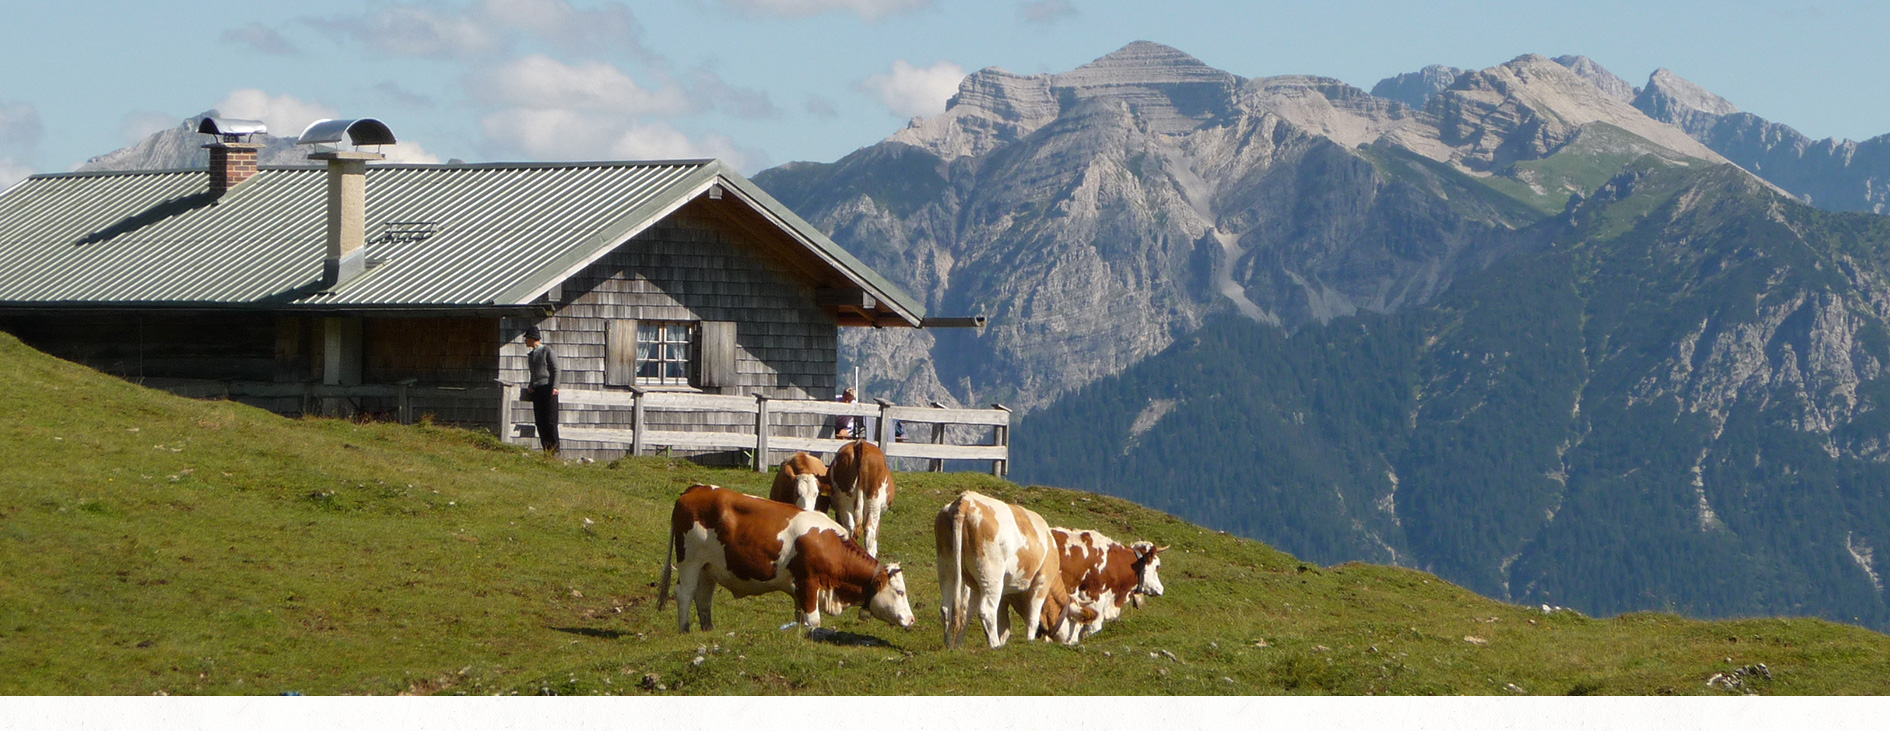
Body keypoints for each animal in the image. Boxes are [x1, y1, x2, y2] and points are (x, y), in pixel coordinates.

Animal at [661, 483, 918, 630]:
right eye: (900, 592)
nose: (912, 619)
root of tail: (695, 489)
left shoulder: (800, 591)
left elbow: (801, 618)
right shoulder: (808, 583)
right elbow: (813, 621)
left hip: (709, 567)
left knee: (703, 597)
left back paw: (708, 629)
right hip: (689, 561)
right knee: (684, 594)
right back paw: (684, 630)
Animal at [933, 491, 1096, 646]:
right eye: (1077, 624)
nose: (1073, 643)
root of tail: (967, 499)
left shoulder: (978, 587)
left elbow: (972, 613)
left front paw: (959, 646)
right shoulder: (1042, 581)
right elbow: (1032, 618)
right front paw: (1029, 641)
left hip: (947, 567)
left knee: (946, 608)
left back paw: (949, 645)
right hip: (991, 573)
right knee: (987, 611)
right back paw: (995, 645)